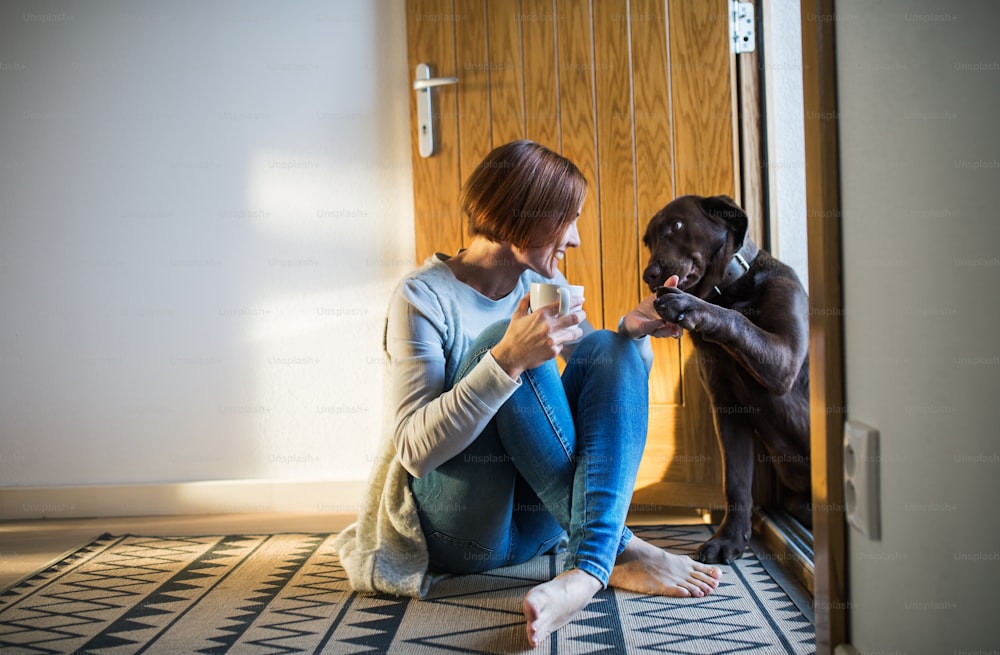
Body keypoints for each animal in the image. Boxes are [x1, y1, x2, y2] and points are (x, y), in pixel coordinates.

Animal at [640, 193, 812, 564]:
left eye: (676, 225)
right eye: (647, 241)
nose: (649, 275)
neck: (731, 290)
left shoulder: (784, 360)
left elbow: (736, 319)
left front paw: (690, 307)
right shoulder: (727, 408)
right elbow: (735, 481)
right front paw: (730, 539)